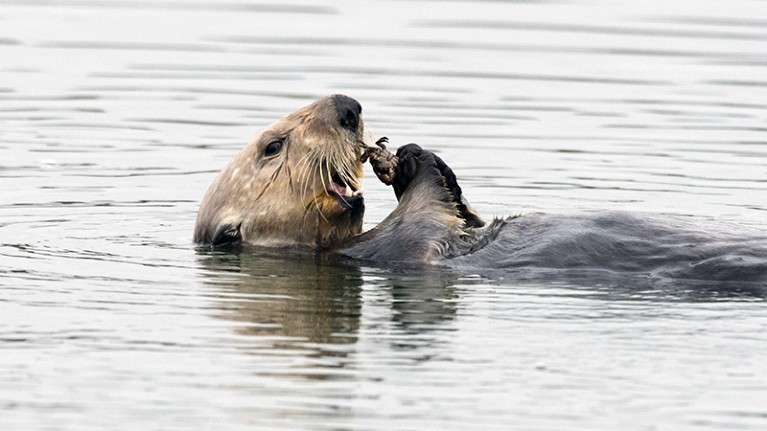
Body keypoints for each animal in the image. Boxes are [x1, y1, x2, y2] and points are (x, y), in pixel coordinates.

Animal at [196, 95, 767, 284]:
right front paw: (411, 165)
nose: (349, 106)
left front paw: (409, 154)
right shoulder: (401, 252)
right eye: (273, 146)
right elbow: (427, 223)